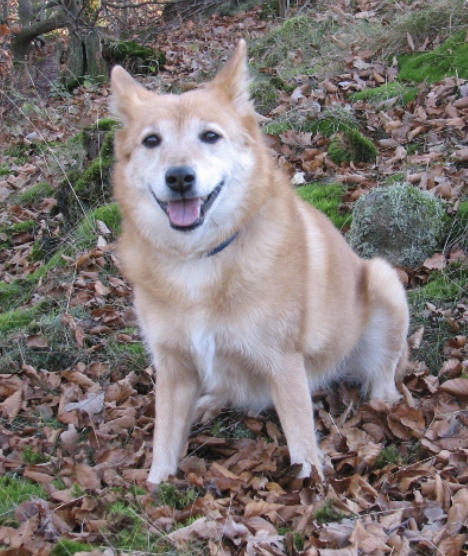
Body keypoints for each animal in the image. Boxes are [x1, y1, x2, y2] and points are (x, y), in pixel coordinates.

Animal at [109, 41, 410, 488]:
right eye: (151, 140)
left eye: (210, 136)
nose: (179, 177)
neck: (200, 258)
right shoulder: (173, 365)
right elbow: (164, 439)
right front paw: (156, 488)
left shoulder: (283, 363)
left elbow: (301, 439)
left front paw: (313, 487)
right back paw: (209, 401)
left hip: (383, 280)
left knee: (383, 377)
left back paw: (384, 405)